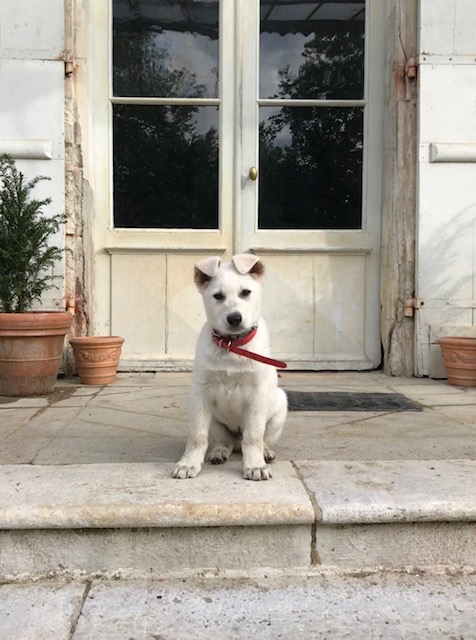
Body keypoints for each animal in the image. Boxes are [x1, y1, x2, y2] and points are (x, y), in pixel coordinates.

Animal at [174, 254, 288, 480]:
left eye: (246, 292)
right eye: (217, 296)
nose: (234, 318)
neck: (231, 346)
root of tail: (236, 440)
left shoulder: (257, 395)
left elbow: (254, 435)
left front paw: (255, 466)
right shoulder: (201, 394)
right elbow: (197, 434)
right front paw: (188, 463)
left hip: (279, 407)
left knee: (261, 439)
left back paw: (265, 453)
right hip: (216, 423)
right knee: (223, 441)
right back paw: (219, 452)